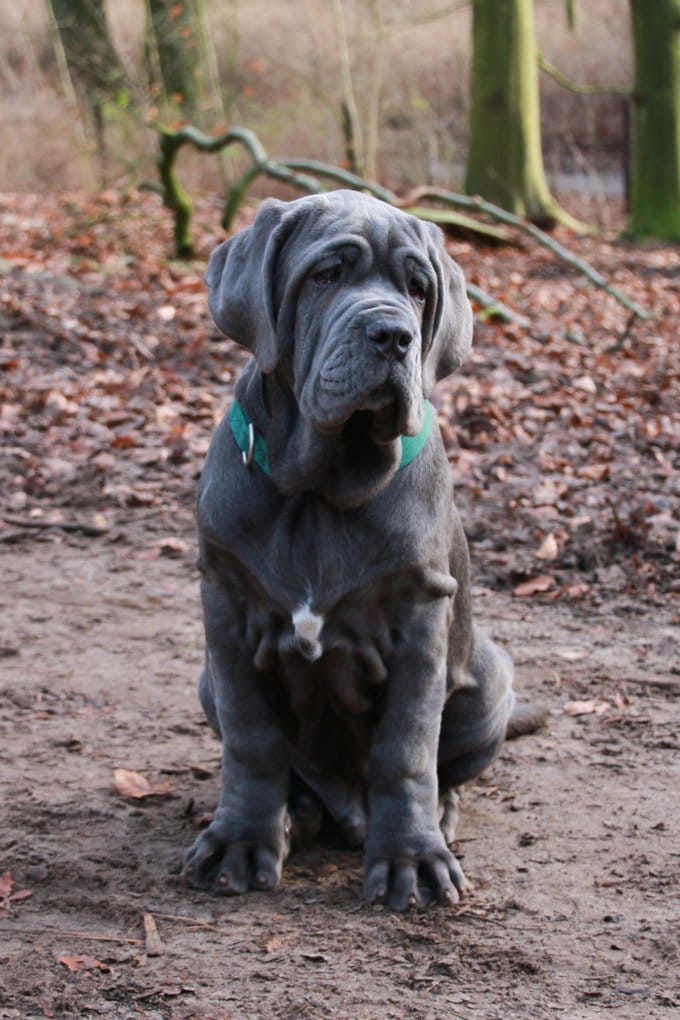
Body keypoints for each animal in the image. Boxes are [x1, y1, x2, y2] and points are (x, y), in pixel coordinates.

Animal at [182, 191, 515, 909]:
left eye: (418, 290)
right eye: (326, 275)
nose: (393, 335)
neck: (318, 489)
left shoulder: (420, 619)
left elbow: (406, 750)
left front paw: (412, 859)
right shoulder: (224, 604)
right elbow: (252, 739)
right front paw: (240, 842)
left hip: (492, 680)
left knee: (446, 772)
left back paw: (433, 819)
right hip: (204, 681)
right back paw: (297, 815)